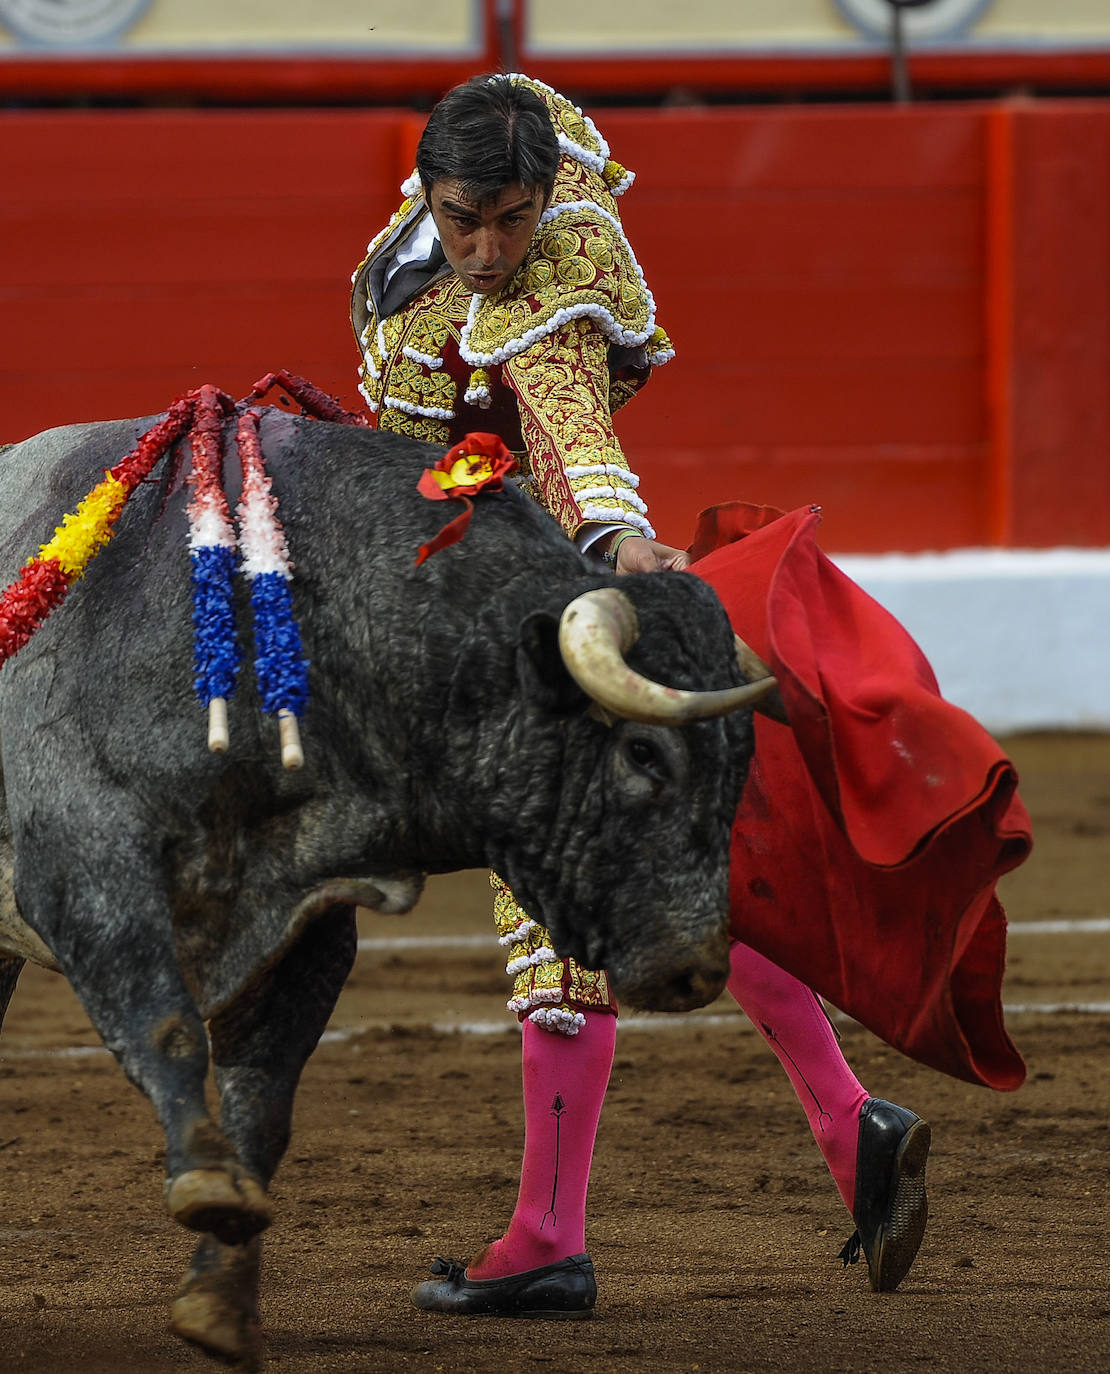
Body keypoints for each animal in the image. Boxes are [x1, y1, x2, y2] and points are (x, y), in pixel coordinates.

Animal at [0, 403, 769, 1363]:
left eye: (739, 768)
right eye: (642, 752)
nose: (695, 966)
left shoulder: (306, 913)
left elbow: (263, 1102)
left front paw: (220, 1304)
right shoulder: (84, 856)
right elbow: (166, 1023)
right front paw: (206, 1189)